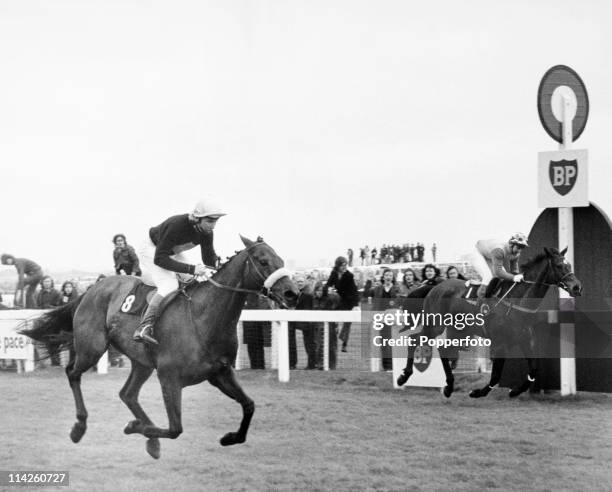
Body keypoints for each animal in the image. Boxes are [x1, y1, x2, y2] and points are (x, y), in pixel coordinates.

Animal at [22, 236, 300, 460]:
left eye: (280, 259)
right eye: (263, 261)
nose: (292, 293)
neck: (204, 317)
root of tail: (92, 288)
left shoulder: (220, 373)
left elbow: (249, 405)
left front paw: (230, 437)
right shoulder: (169, 378)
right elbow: (176, 429)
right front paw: (135, 427)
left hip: (141, 362)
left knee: (127, 394)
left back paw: (152, 442)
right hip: (92, 347)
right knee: (73, 373)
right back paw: (80, 427)